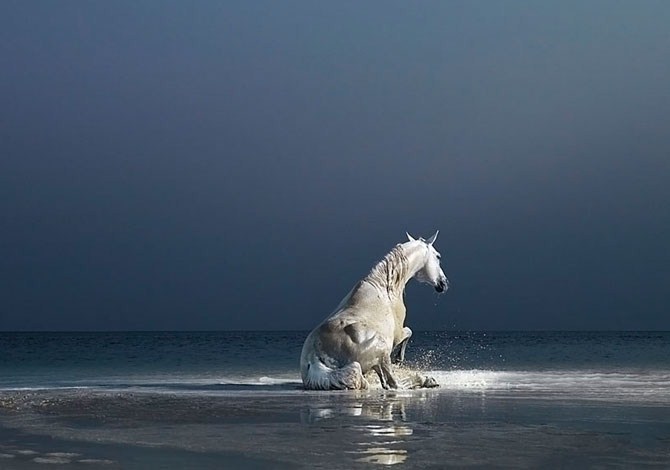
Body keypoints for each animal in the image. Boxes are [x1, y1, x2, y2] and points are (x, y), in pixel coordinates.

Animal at [300, 231, 448, 390]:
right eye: (438, 256)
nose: (444, 283)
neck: (385, 287)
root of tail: (313, 356)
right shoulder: (398, 334)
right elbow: (409, 332)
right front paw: (399, 358)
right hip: (382, 351)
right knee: (394, 383)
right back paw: (425, 380)